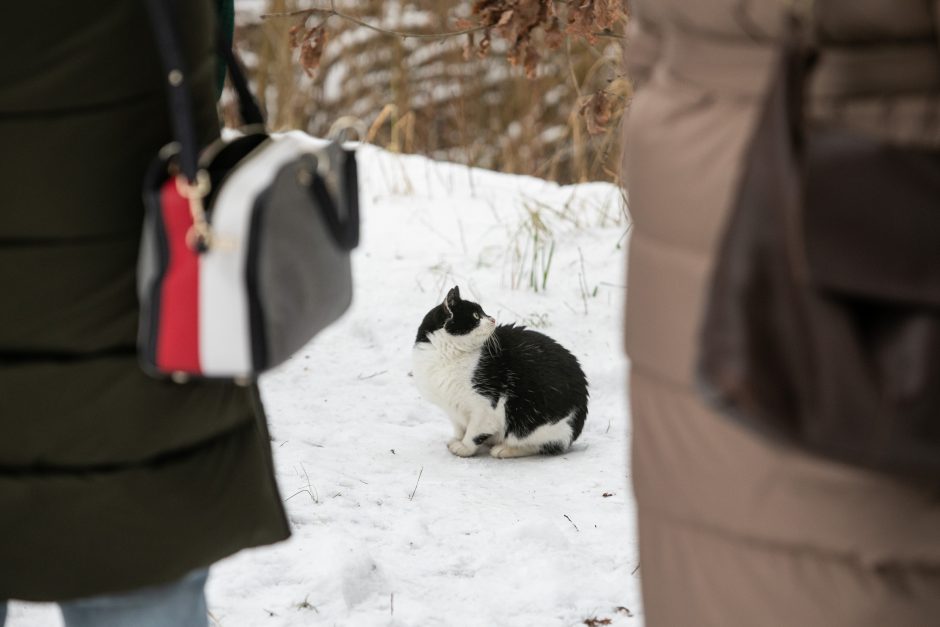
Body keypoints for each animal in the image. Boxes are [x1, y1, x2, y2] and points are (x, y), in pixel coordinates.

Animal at [412, 288, 588, 458]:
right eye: (476, 315)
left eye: (483, 312)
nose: (492, 319)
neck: (447, 356)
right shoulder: (452, 407)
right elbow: (459, 427)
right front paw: (457, 439)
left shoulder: (486, 406)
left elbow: (474, 431)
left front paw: (464, 447)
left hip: (538, 423)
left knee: (541, 444)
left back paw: (504, 449)